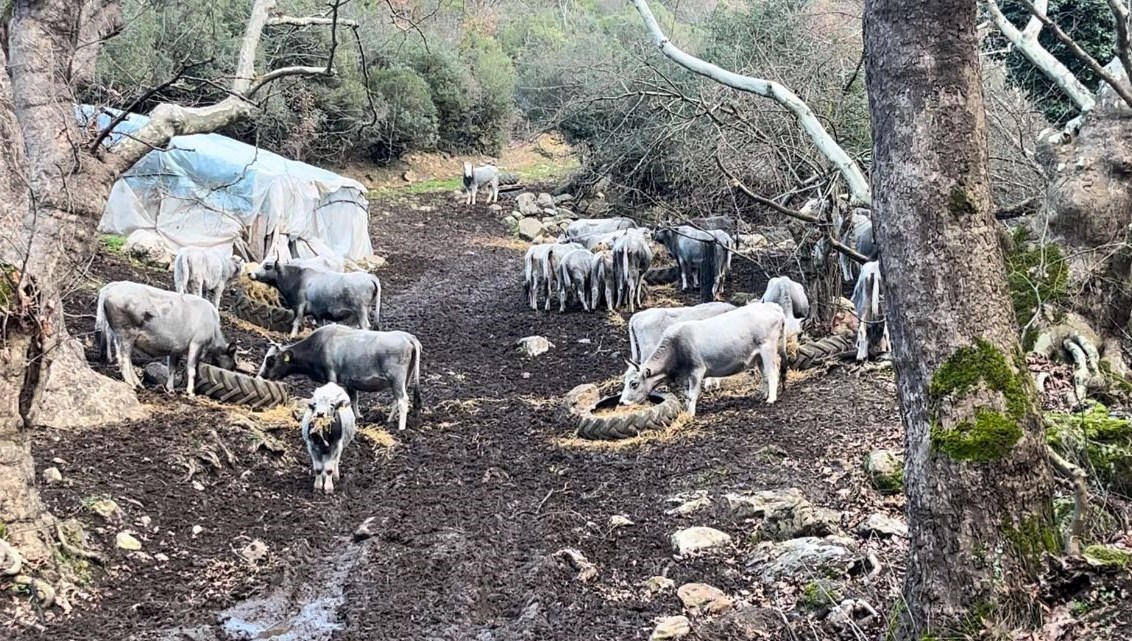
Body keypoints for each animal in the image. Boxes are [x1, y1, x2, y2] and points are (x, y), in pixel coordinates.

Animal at [95, 283, 238, 396]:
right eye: (234, 364)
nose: (232, 369)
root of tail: (108, 290)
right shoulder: (196, 344)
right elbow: (191, 369)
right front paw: (190, 392)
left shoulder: (176, 349)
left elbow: (172, 369)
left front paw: (170, 389)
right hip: (126, 333)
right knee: (123, 359)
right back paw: (132, 384)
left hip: (120, 335)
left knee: (127, 359)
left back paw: (139, 384)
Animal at [250, 262, 382, 339]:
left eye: (267, 266)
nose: (250, 273)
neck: (297, 279)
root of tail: (369, 277)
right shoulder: (317, 314)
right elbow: (319, 326)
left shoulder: (300, 306)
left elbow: (296, 322)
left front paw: (292, 336)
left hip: (361, 311)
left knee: (365, 326)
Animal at [256, 328, 425, 430]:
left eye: (270, 360)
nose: (261, 376)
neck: (317, 346)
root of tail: (408, 337)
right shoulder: (350, 381)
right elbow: (354, 399)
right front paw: (357, 417)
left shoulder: (331, 377)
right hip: (404, 379)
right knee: (397, 400)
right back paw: (389, 420)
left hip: (396, 379)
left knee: (402, 400)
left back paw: (401, 428)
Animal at [620, 303, 787, 419]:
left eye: (634, 383)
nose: (621, 402)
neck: (677, 345)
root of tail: (773, 306)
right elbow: (686, 395)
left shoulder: (697, 371)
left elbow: (693, 394)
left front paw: (690, 414)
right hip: (759, 356)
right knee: (765, 374)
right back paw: (763, 394)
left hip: (768, 349)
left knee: (772, 372)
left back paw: (771, 398)